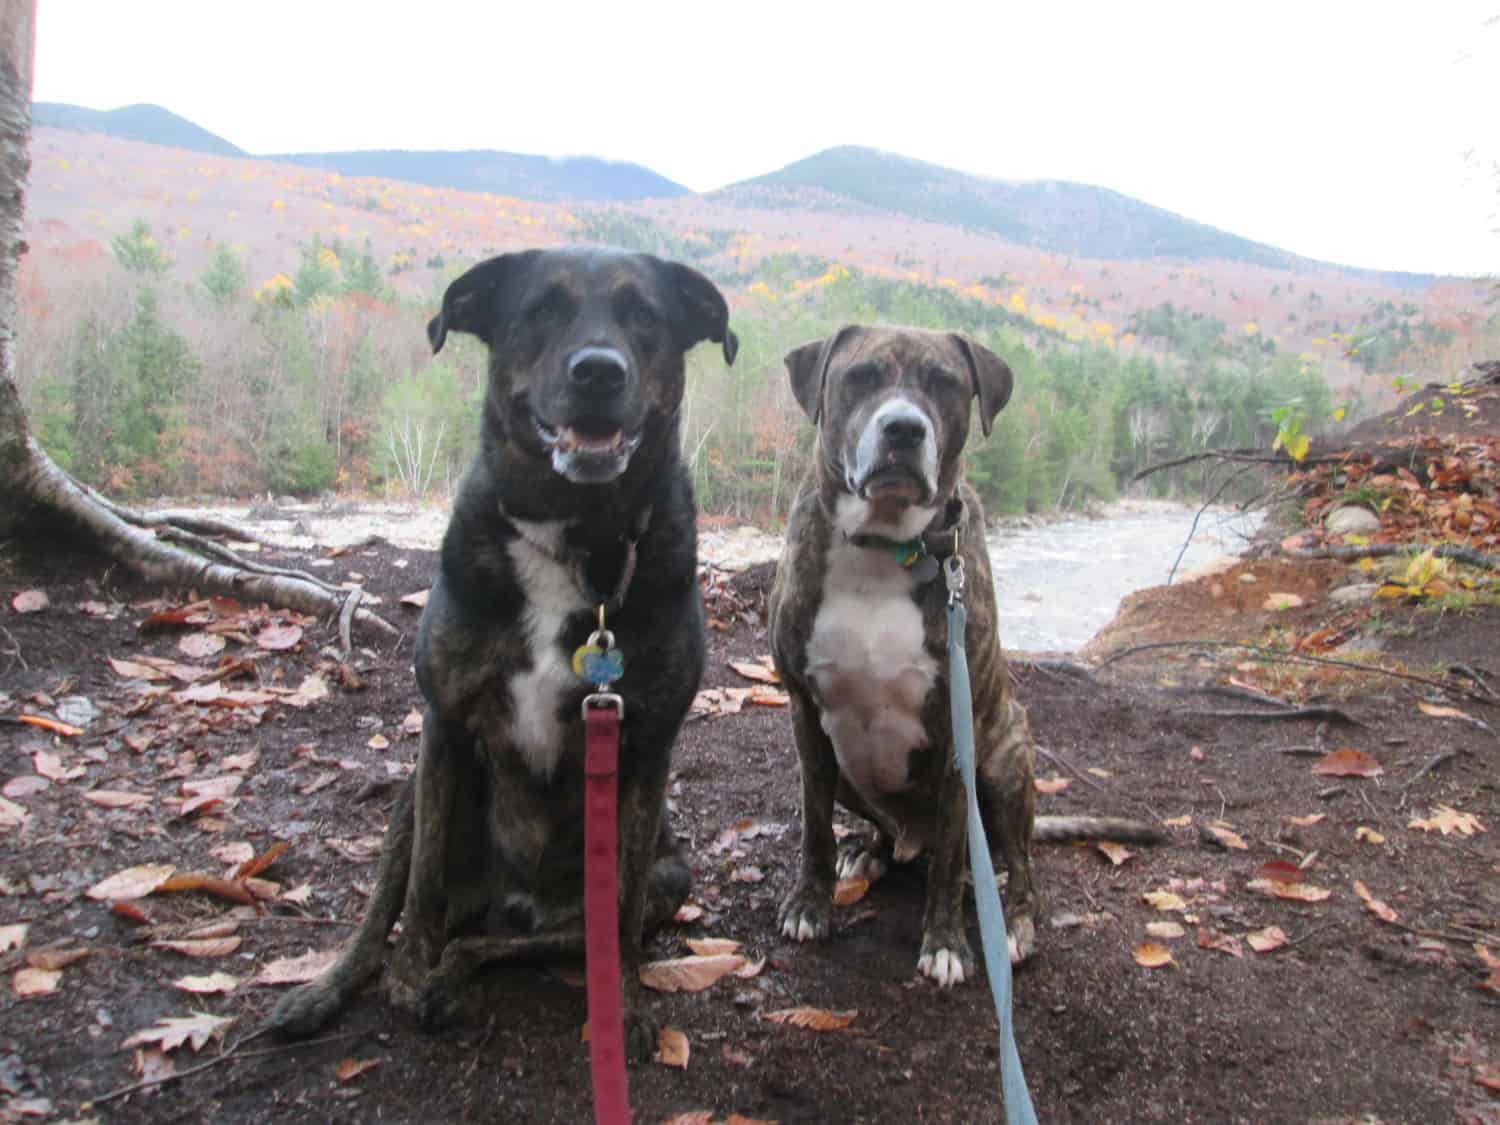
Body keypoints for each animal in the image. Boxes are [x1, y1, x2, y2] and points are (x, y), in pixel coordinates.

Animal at [274, 246, 738, 1056]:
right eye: (539, 310)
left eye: (644, 315)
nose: (599, 372)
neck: (576, 537)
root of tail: (515, 903)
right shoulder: (445, 726)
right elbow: (420, 885)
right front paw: (403, 977)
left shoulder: (646, 748)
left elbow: (618, 912)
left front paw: (625, 1010)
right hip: (411, 796)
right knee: (390, 906)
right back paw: (337, 987)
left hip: (670, 875)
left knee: (532, 940)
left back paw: (462, 968)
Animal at [774, 324, 1158, 984]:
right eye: (861, 377)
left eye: (945, 383)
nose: (903, 429)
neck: (886, 547)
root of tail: (911, 836)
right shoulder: (806, 717)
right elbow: (814, 827)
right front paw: (810, 904)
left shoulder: (958, 733)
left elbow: (955, 860)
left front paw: (946, 942)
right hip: (850, 769)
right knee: (890, 835)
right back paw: (869, 853)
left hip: (1006, 763)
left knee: (1017, 868)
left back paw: (1013, 922)